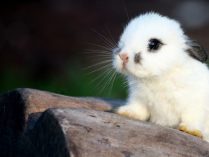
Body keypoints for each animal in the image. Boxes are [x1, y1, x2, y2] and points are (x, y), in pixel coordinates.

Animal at [112, 12, 209, 142]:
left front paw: (190, 130)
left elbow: (193, 118)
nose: (123, 56)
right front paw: (125, 112)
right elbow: (138, 109)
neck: (158, 77)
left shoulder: (196, 105)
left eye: (154, 44)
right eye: (122, 42)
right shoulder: (138, 98)